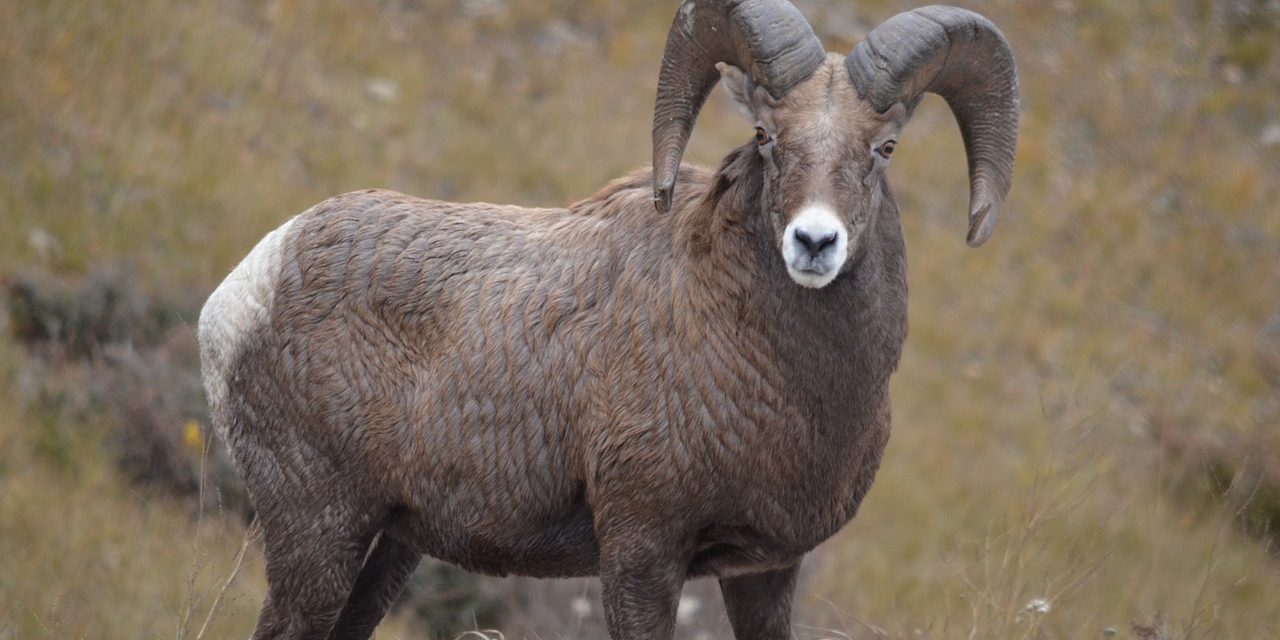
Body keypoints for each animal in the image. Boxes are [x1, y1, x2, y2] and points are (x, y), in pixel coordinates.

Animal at [197, 1, 1019, 638]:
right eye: (767, 137)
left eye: (883, 148)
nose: (814, 242)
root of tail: (244, 290)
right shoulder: (641, 553)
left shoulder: (766, 571)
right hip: (319, 534)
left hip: (390, 547)